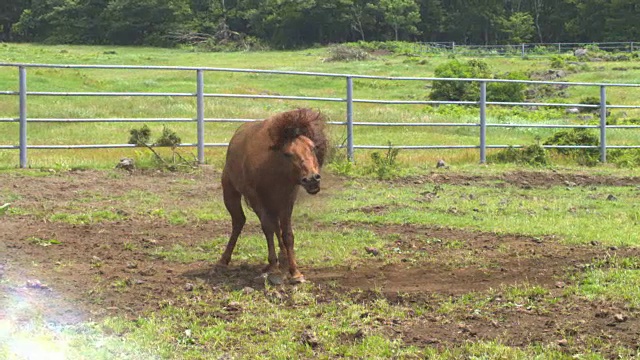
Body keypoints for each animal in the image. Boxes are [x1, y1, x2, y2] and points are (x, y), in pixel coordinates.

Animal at [220, 108, 330, 282]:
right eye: (288, 154)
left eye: (312, 147)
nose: (312, 179)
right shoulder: (256, 198)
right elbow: (267, 227)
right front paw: (272, 264)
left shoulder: (286, 200)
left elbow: (287, 233)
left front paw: (295, 272)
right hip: (231, 194)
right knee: (239, 222)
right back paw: (224, 259)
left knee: (275, 227)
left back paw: (283, 257)